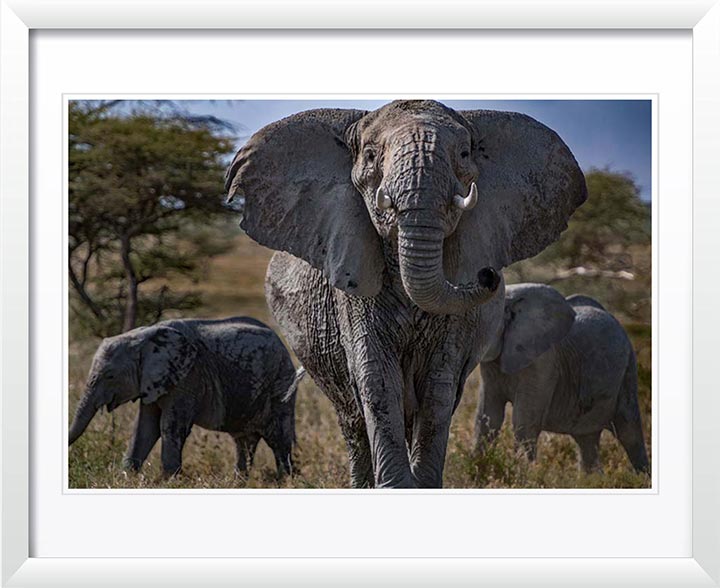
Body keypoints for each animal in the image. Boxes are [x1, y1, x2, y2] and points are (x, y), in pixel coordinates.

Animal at [68, 317, 305, 478]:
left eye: (110, 376)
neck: (144, 337)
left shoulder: (187, 377)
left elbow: (169, 426)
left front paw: (168, 481)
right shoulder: (155, 381)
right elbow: (145, 427)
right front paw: (127, 477)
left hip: (280, 387)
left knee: (278, 440)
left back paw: (285, 481)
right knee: (244, 442)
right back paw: (239, 482)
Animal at [225, 100, 587, 488]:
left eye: (463, 153)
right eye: (370, 156)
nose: (488, 274)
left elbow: (439, 381)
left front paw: (421, 484)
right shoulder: (353, 292)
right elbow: (377, 377)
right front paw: (397, 486)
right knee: (353, 420)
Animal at [473, 283, 649, 474]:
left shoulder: (543, 363)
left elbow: (523, 423)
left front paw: (522, 475)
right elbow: (487, 418)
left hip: (628, 370)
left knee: (629, 431)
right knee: (587, 441)